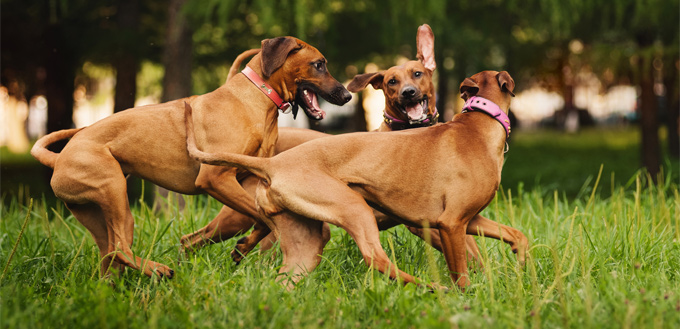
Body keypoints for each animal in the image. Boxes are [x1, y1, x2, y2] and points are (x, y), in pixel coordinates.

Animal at [30, 36, 350, 276]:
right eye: (319, 65)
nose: (346, 96)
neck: (256, 97)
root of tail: (59, 158)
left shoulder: (247, 180)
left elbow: (260, 219)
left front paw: (244, 247)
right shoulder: (215, 179)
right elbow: (261, 217)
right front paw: (247, 246)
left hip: (98, 212)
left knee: (112, 253)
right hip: (113, 191)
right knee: (120, 247)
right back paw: (160, 270)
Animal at [179, 23, 478, 266]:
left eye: (417, 74)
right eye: (392, 81)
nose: (408, 93)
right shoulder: (424, 222)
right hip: (236, 214)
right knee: (203, 237)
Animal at [186, 70, 532, 288]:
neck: (478, 123)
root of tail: (271, 163)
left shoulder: (468, 220)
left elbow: (517, 235)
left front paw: (523, 266)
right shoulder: (450, 224)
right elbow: (461, 271)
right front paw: (466, 296)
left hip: (306, 243)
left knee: (282, 277)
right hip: (354, 210)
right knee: (375, 258)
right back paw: (430, 287)